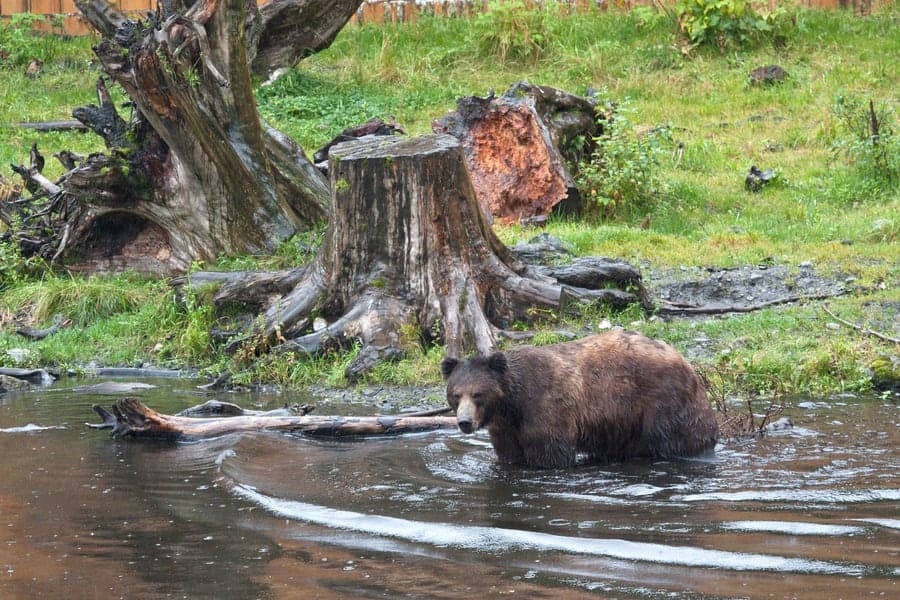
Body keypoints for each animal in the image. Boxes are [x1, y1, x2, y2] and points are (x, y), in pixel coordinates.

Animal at [442, 330, 716, 466]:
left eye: (478, 393)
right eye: (456, 394)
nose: (464, 422)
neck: (511, 405)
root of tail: (686, 362)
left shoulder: (545, 409)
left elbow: (550, 455)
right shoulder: (506, 430)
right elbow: (510, 455)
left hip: (662, 403)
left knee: (672, 440)